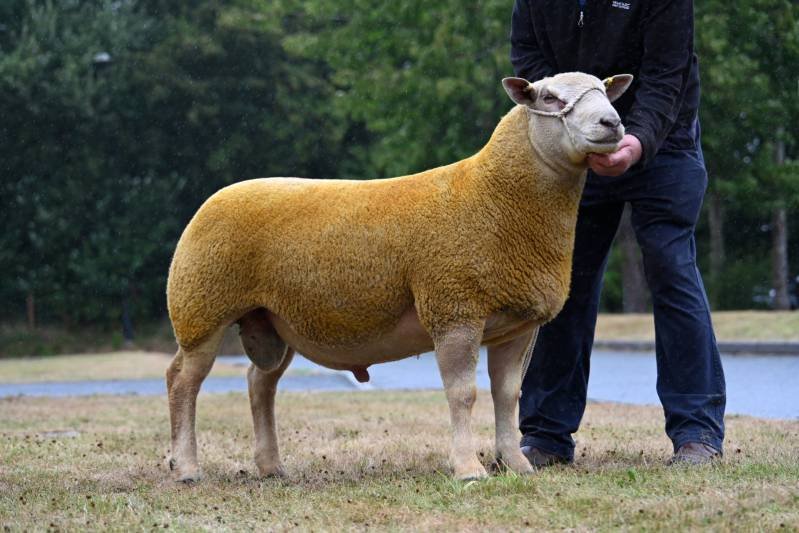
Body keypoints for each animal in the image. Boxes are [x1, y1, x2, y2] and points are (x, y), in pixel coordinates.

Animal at [165, 71, 633, 482]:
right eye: (550, 98)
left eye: (605, 90)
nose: (612, 123)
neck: (494, 195)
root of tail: (215, 198)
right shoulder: (453, 309)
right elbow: (463, 394)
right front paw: (468, 470)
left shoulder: (516, 325)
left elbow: (508, 395)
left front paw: (516, 464)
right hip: (201, 308)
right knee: (182, 381)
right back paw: (186, 467)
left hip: (274, 320)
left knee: (259, 383)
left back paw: (271, 467)